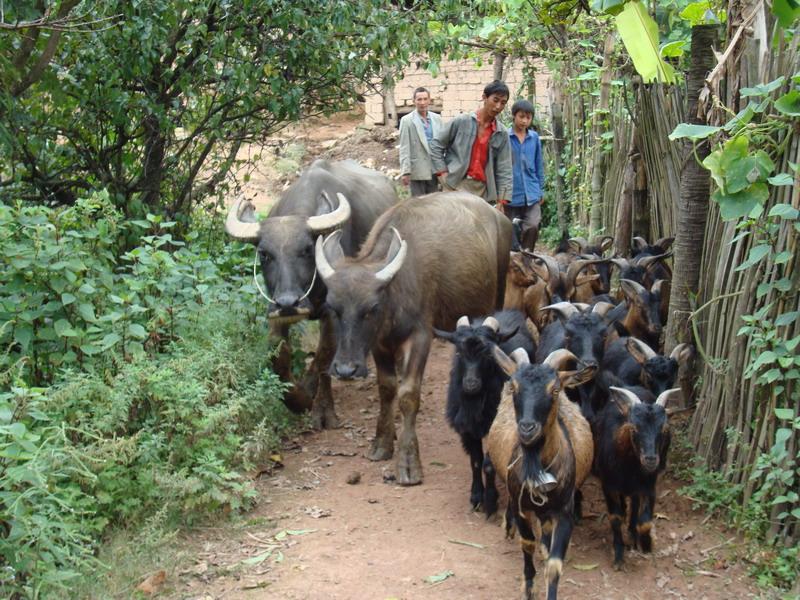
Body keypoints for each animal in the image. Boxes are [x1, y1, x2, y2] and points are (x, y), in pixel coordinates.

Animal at [223, 158, 398, 426]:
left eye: (307, 250)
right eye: (264, 254)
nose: (288, 303)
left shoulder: (333, 310)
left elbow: (324, 353)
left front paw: (320, 408)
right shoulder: (274, 308)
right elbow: (278, 351)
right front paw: (296, 398)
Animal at [314, 195, 512, 486]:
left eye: (372, 308)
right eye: (332, 306)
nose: (346, 370)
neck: (397, 290)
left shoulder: (420, 337)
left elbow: (408, 394)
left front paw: (408, 464)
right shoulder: (379, 343)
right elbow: (386, 388)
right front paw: (382, 444)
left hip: (496, 295)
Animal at [432, 312, 536, 508]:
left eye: (488, 354)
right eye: (458, 352)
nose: (471, 384)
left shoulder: (497, 427)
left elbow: (488, 463)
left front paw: (490, 500)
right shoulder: (467, 428)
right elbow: (476, 461)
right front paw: (476, 496)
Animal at [482, 346, 592, 600]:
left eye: (555, 389)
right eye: (514, 387)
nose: (527, 428)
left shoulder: (565, 510)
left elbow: (554, 565)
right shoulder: (521, 507)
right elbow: (527, 543)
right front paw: (529, 587)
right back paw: (509, 527)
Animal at [592, 384, 680, 568]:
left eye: (664, 429)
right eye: (634, 428)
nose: (651, 459)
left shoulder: (648, 485)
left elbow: (645, 521)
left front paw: (645, 544)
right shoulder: (608, 485)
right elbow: (615, 517)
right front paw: (618, 556)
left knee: (635, 504)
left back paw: (633, 534)